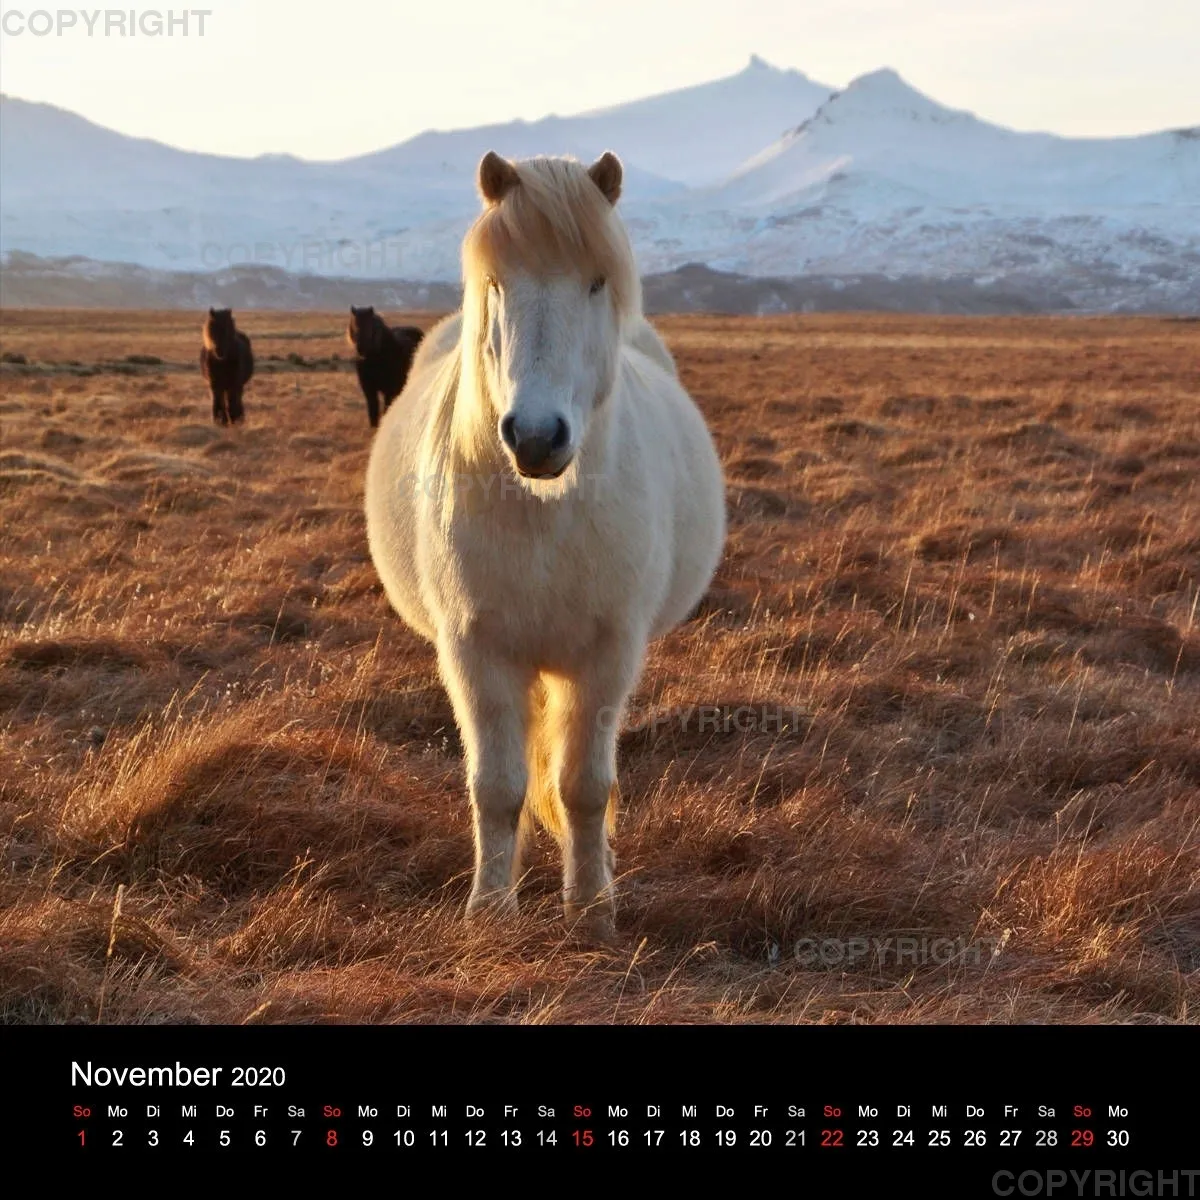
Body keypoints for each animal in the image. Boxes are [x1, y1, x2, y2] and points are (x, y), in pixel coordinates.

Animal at [364, 150, 725, 939]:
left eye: (596, 281)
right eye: (498, 284)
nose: (535, 437)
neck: (544, 516)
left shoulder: (606, 656)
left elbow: (585, 786)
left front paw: (591, 911)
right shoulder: (476, 652)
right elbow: (498, 788)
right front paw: (490, 910)